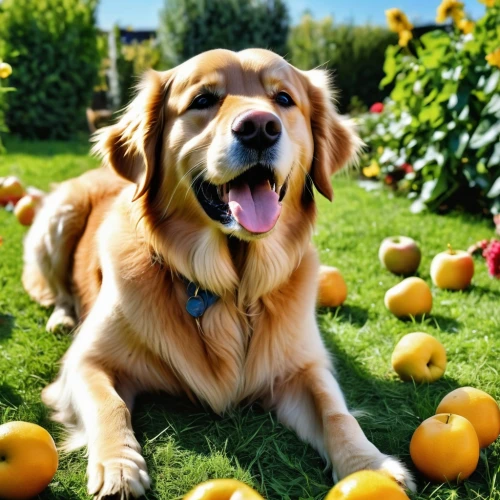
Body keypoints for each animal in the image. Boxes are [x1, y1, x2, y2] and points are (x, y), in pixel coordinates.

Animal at [22, 47, 414, 500]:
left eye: (283, 99)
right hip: (59, 216)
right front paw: (118, 467)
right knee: (57, 291)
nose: (260, 128)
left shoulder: (303, 366)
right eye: (203, 100)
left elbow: (334, 410)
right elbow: (110, 403)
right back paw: (62, 316)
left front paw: (371, 466)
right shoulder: (86, 362)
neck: (231, 287)